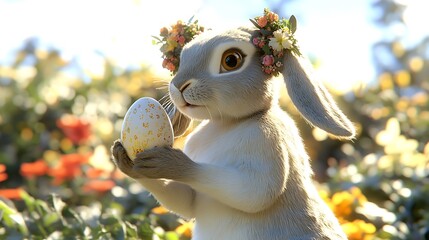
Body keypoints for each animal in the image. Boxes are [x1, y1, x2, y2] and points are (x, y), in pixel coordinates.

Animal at [111, 26, 354, 240]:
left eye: (231, 60)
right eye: (181, 58)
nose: (178, 85)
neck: (228, 124)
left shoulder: (268, 142)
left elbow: (252, 192)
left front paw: (168, 162)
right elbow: (186, 202)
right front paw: (124, 159)